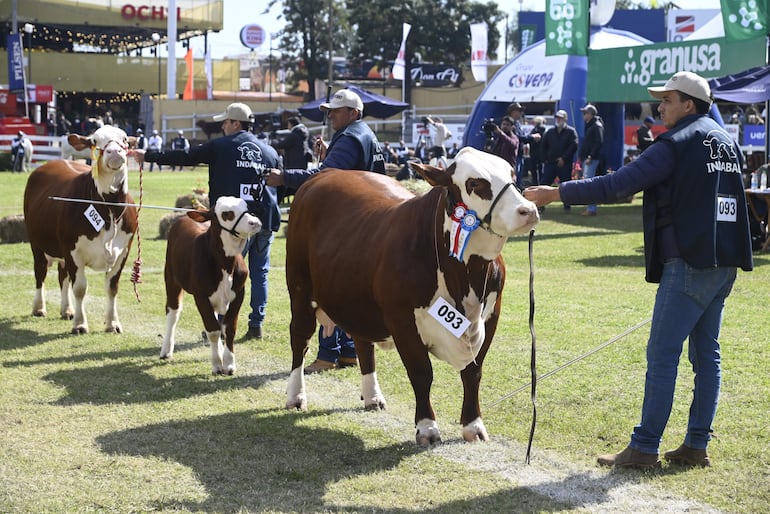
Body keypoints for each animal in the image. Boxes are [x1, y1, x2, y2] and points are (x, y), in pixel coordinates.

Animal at [22, 124, 140, 332]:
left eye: (125, 139)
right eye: (94, 141)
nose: (115, 152)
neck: (109, 209)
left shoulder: (124, 250)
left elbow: (112, 288)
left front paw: (112, 323)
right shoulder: (72, 250)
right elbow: (80, 288)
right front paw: (80, 324)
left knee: (62, 276)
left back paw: (67, 310)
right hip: (36, 242)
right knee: (40, 272)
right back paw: (39, 307)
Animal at [159, 195, 260, 372]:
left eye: (246, 206)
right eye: (227, 214)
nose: (254, 222)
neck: (226, 264)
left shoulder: (239, 293)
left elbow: (228, 328)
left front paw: (229, 363)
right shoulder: (200, 296)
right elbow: (212, 330)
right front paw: (217, 365)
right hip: (171, 278)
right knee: (173, 311)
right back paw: (166, 350)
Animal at [284, 145, 540, 444]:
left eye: (512, 174)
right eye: (474, 183)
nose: (528, 210)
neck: (465, 278)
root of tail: (327, 173)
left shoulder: (491, 314)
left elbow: (473, 372)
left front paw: (473, 425)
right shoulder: (402, 318)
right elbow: (421, 373)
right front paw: (427, 428)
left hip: (356, 299)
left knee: (362, 343)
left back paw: (372, 397)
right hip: (299, 287)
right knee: (300, 339)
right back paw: (296, 396)